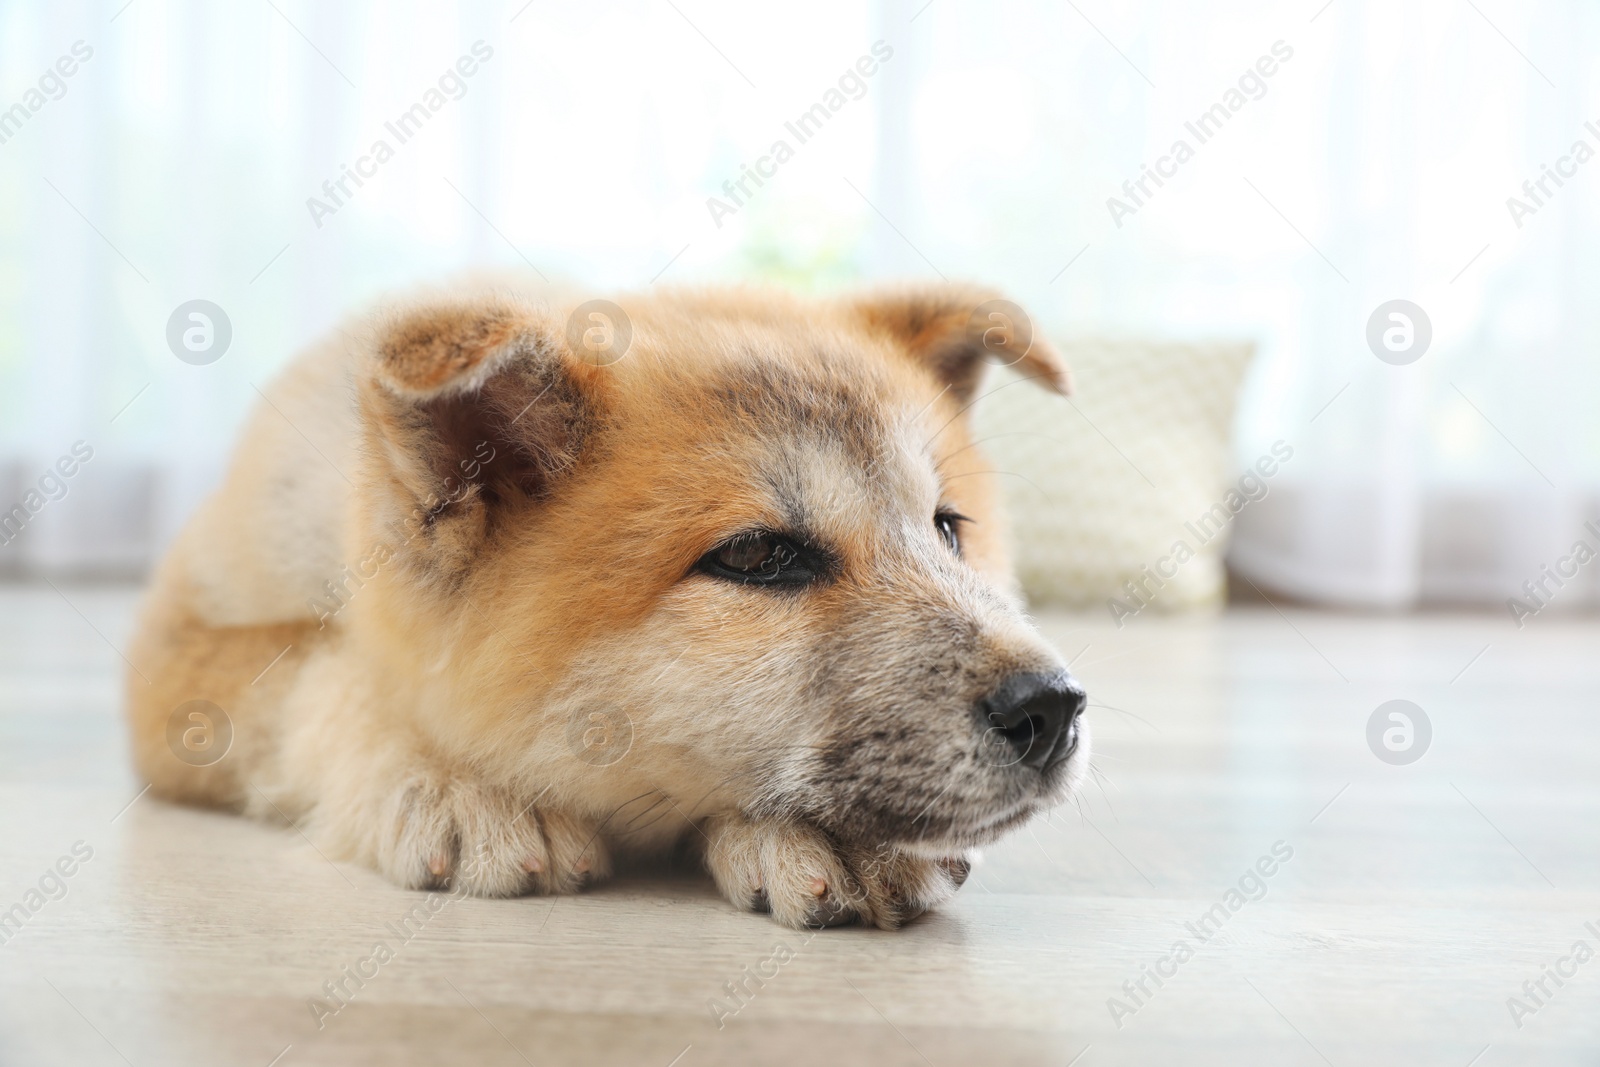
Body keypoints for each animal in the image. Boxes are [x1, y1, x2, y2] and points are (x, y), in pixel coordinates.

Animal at [128, 281, 1088, 927]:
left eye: (947, 529)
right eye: (759, 557)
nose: (1054, 707)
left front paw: (827, 835)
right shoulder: (183, 667)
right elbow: (332, 679)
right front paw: (457, 783)